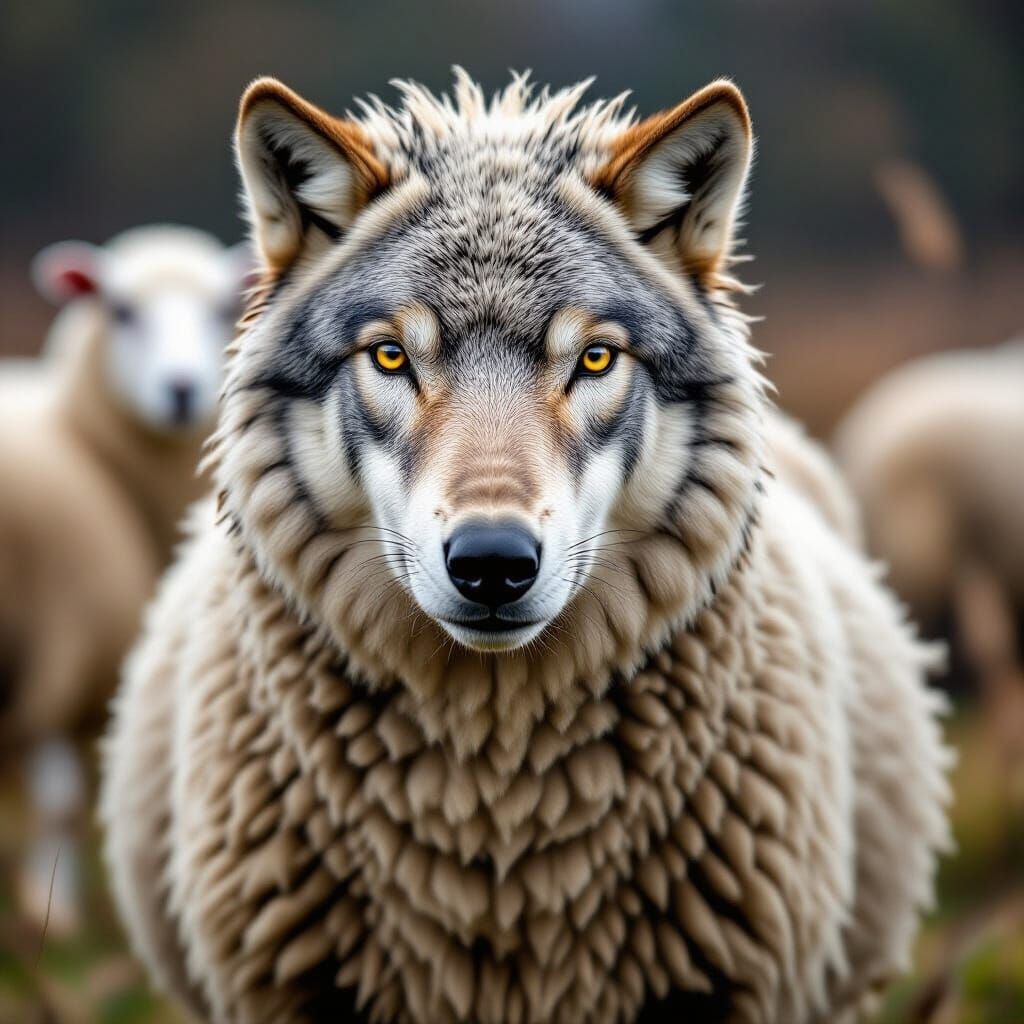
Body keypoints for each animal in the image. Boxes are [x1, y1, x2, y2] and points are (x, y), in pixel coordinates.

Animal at [0, 225, 248, 933]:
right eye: (121, 310)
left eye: (221, 307)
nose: (182, 389)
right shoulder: (62, 646)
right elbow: (60, 805)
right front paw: (53, 913)